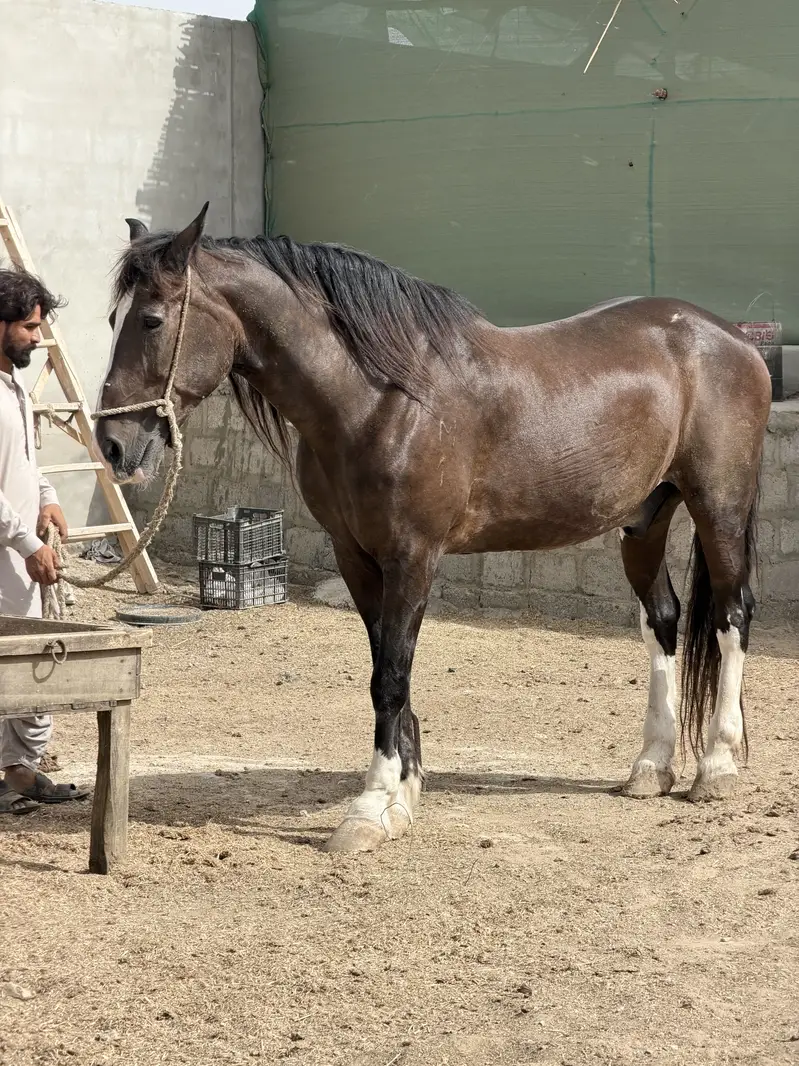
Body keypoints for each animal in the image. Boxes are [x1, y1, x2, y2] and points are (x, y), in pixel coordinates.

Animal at [95, 204, 772, 853]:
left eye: (151, 320)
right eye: (113, 320)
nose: (113, 444)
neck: (380, 401)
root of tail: (729, 337)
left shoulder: (412, 555)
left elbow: (391, 676)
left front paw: (370, 811)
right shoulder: (356, 556)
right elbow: (386, 665)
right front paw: (405, 792)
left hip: (718, 504)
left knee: (730, 615)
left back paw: (716, 766)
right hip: (644, 519)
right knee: (663, 619)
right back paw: (652, 766)